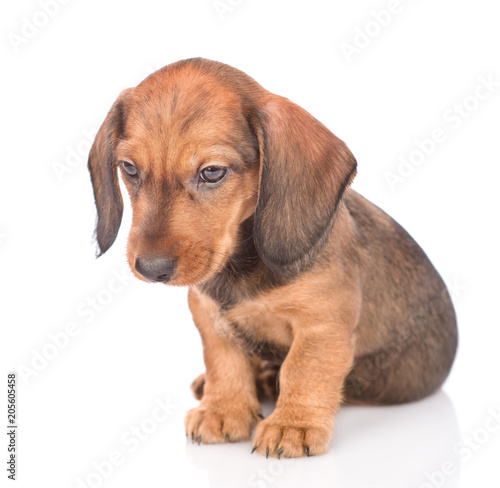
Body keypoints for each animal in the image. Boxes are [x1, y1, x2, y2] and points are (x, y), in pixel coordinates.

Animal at [87, 57, 458, 458]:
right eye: (129, 168)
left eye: (212, 172)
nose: (151, 269)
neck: (242, 263)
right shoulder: (208, 314)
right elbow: (223, 360)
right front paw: (223, 409)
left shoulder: (321, 323)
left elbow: (303, 368)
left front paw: (293, 423)